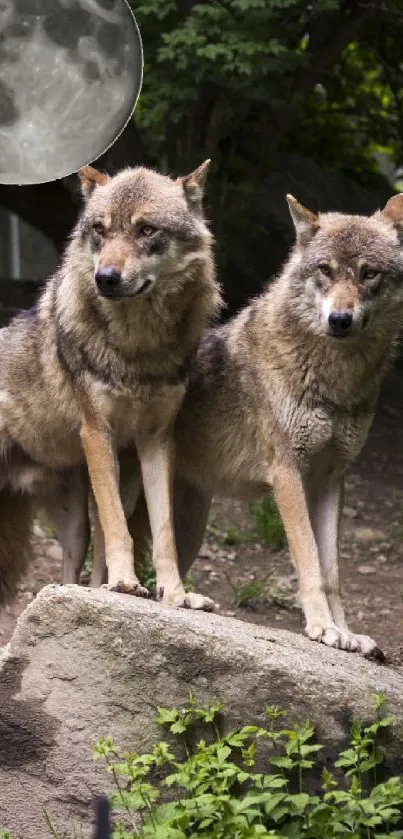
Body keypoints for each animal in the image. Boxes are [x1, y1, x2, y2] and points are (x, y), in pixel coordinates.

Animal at [0, 161, 221, 612]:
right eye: (100, 230)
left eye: (146, 230)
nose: (106, 278)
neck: (137, 350)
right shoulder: (96, 432)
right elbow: (120, 529)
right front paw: (124, 582)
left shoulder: (156, 441)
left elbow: (163, 535)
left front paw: (174, 594)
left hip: (77, 522)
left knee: (70, 575)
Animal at [98, 190, 403, 664]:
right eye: (325, 270)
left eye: (369, 273)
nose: (340, 319)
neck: (335, 381)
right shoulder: (287, 474)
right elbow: (310, 561)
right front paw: (322, 629)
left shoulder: (332, 479)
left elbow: (333, 574)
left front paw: (348, 634)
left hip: (189, 526)